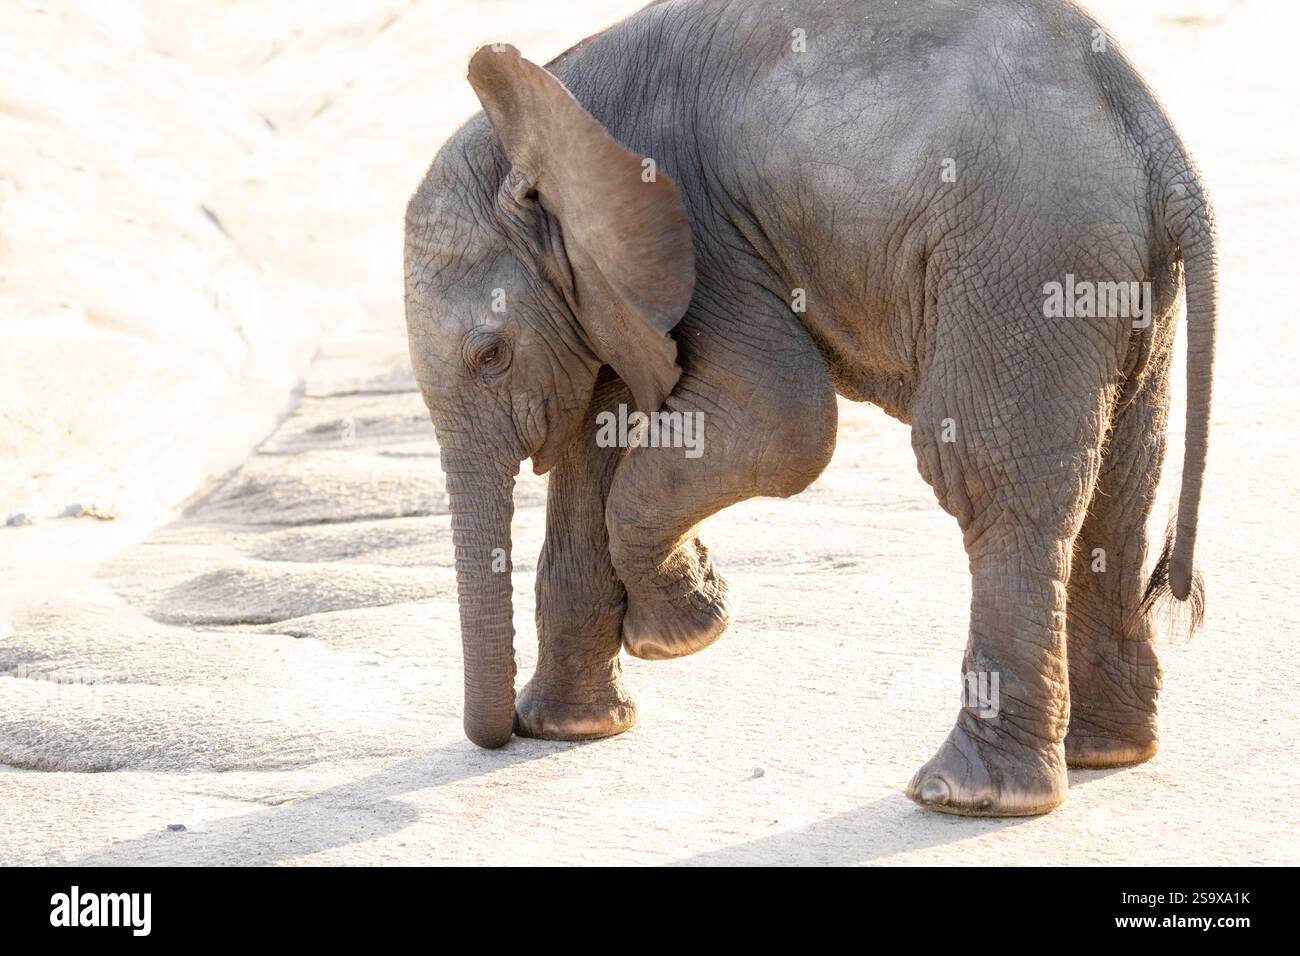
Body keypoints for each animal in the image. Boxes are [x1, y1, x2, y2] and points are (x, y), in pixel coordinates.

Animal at [403, 0, 1216, 817]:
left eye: (489, 356)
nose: (501, 734)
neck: (538, 109)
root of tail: (1159, 145)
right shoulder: (607, 291)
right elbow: (595, 437)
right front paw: (574, 725)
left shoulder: (704, 241)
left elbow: (781, 427)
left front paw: (686, 629)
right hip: (1118, 280)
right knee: (1120, 483)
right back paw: (1104, 754)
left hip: (1027, 260)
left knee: (989, 483)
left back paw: (966, 794)